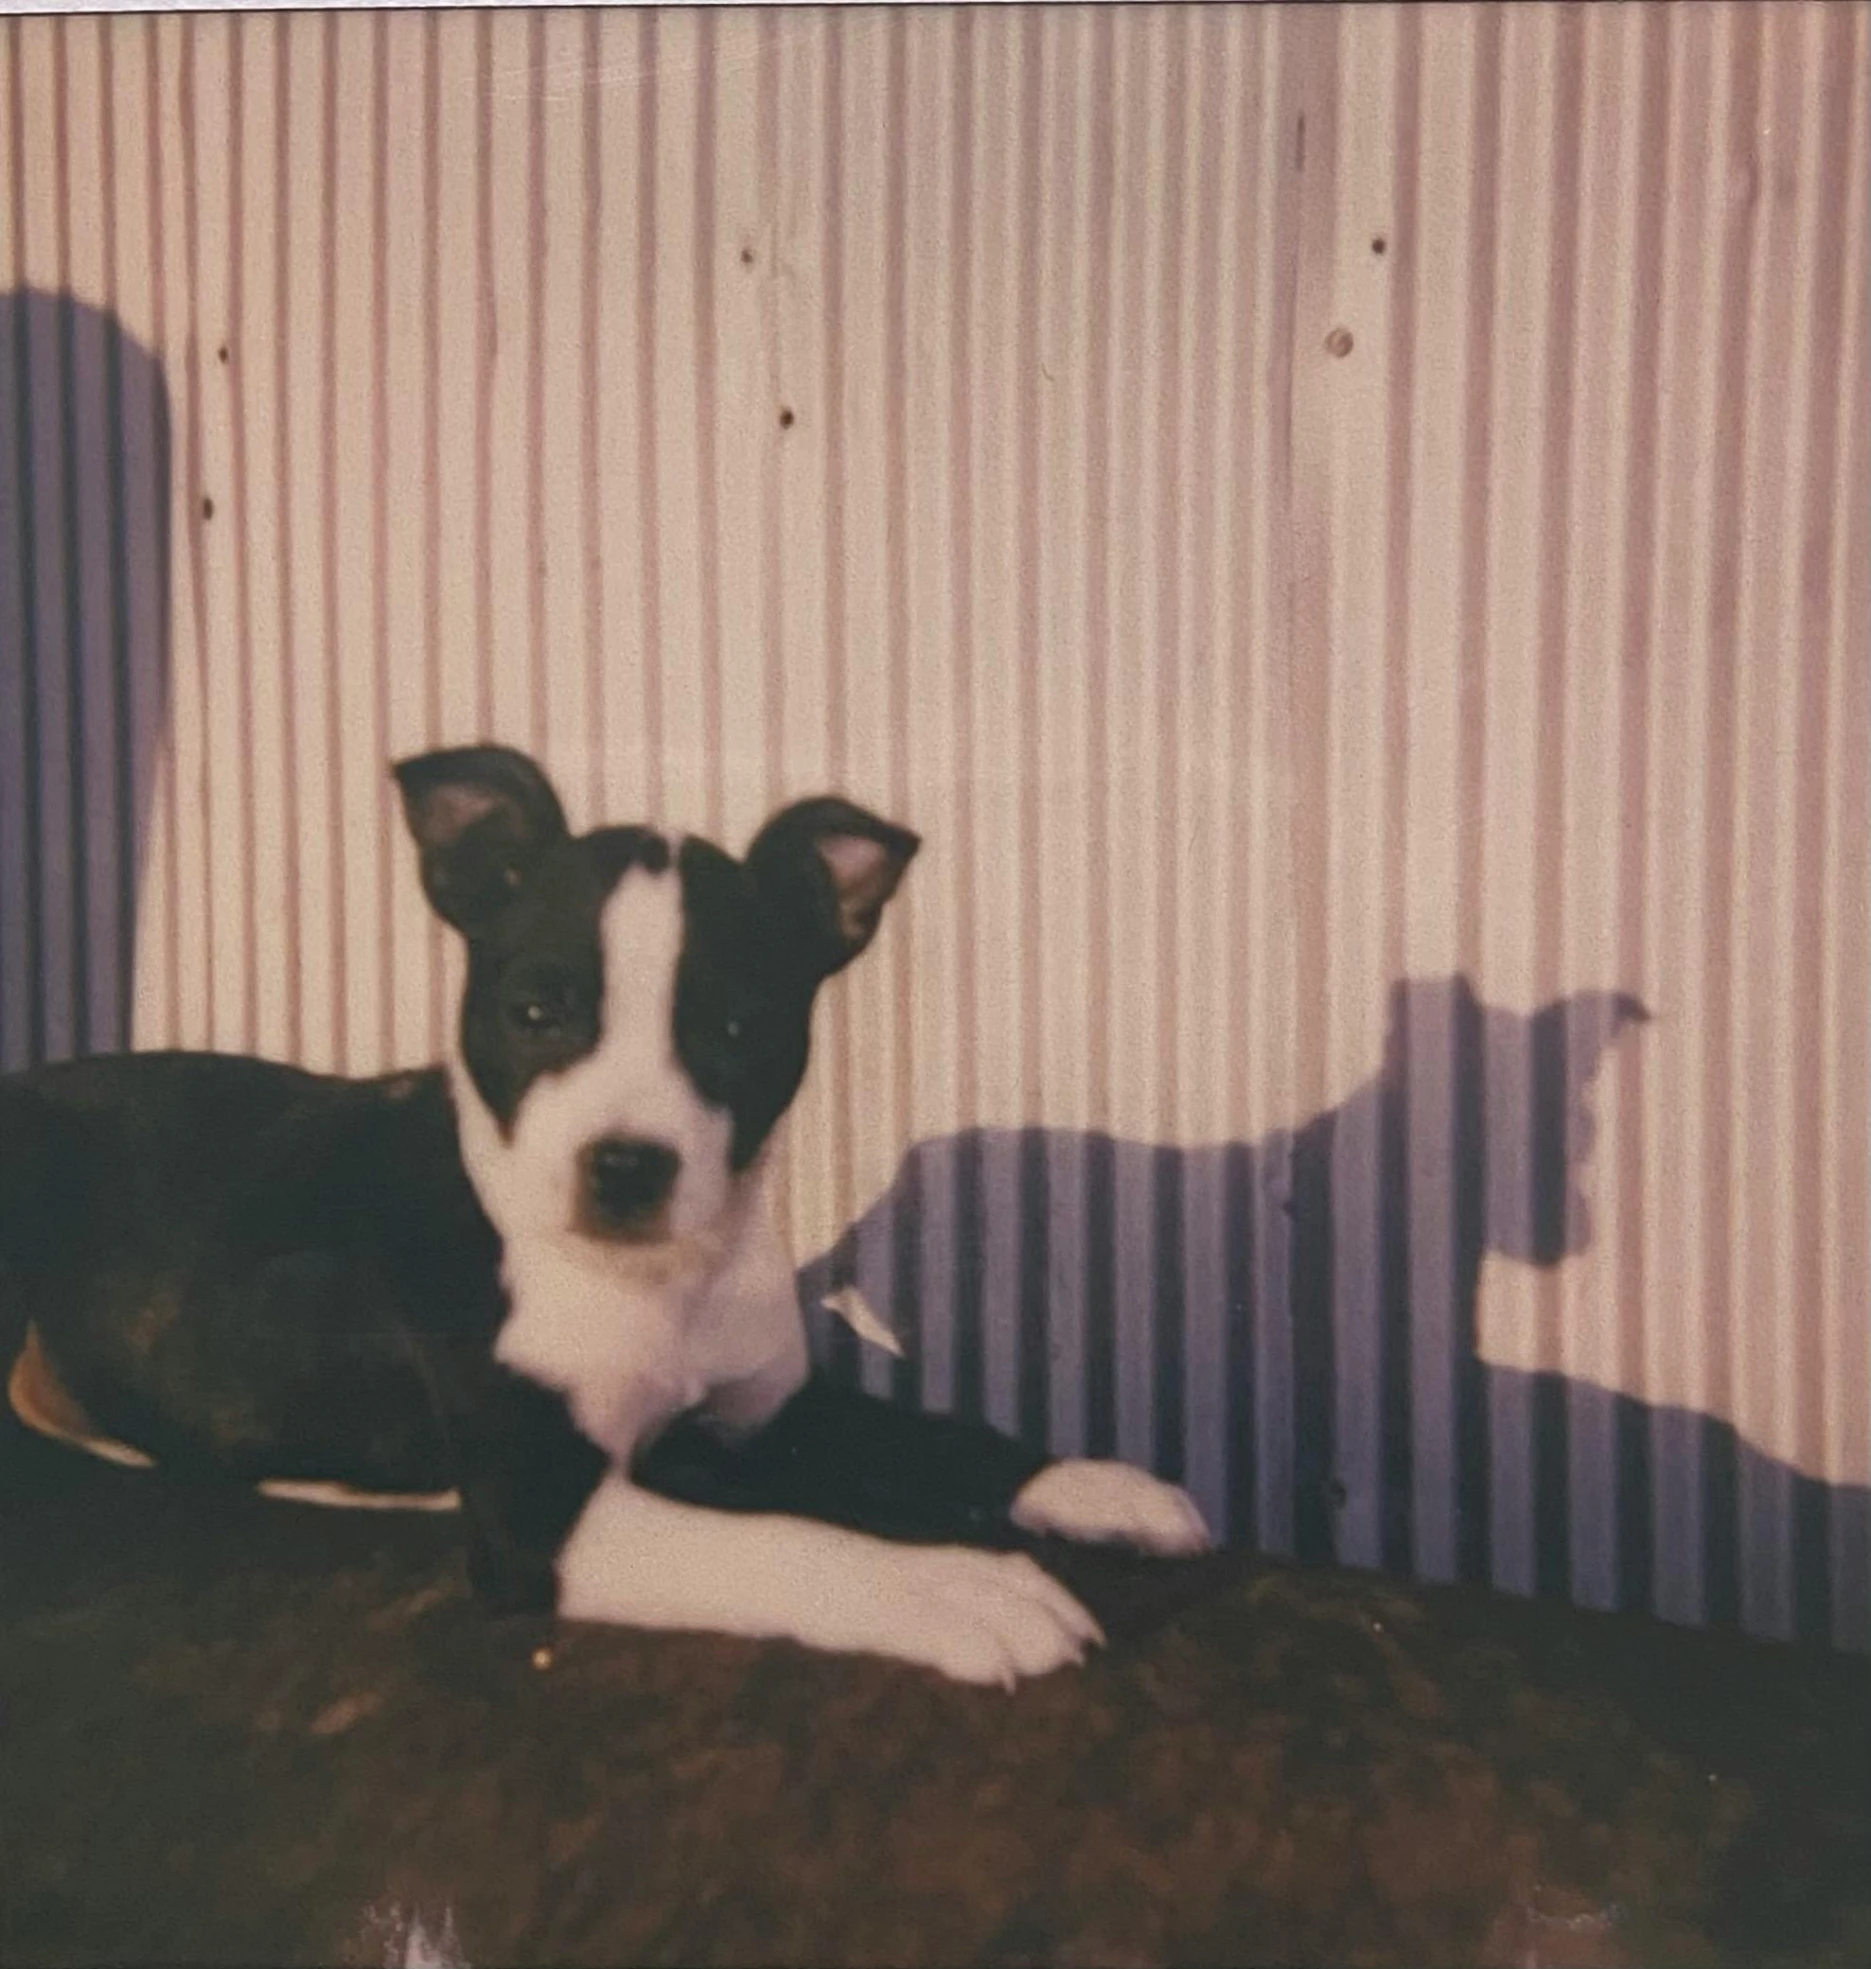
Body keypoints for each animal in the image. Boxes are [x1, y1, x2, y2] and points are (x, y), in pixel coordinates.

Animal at [0, 744, 1205, 1685]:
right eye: (537, 1010)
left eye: (735, 1027)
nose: (626, 1165)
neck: (657, 1279)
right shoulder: (540, 1520)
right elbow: (779, 1540)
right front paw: (956, 1589)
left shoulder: (769, 1409)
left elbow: (929, 1433)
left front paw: (1090, 1481)